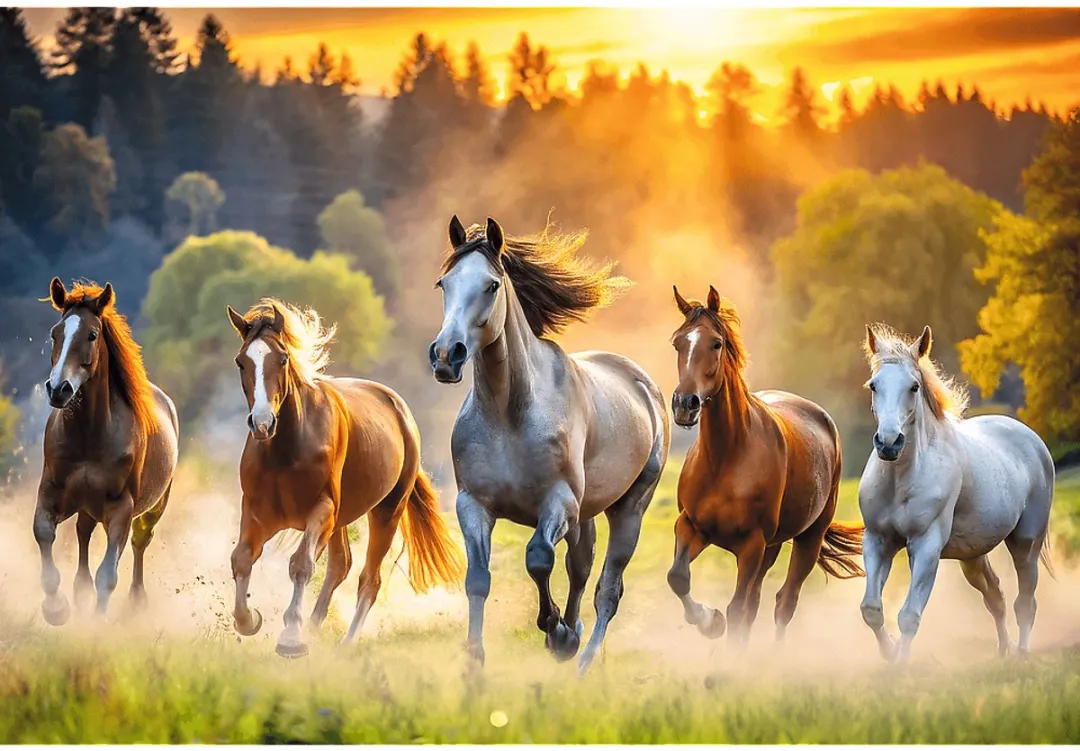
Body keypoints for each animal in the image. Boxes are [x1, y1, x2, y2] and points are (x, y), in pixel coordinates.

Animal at [35, 278, 179, 624]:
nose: (58, 389)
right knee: (83, 533)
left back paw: (137, 600)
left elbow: (108, 573)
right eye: (55, 333)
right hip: (87, 506)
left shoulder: (121, 508)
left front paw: (97, 623)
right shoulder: (51, 491)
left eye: (91, 334)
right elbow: (44, 534)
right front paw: (56, 607)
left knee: (139, 543)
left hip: (152, 508)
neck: (90, 435)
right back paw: (79, 593)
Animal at [225, 299, 465, 657]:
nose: (263, 423)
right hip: (340, 521)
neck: (286, 449)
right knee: (341, 565)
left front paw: (290, 638)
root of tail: (401, 411)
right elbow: (241, 559)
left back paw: (345, 643)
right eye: (241, 362)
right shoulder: (257, 513)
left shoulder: (321, 511)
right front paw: (249, 619)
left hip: (385, 512)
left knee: (369, 579)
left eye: (282, 359)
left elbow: (301, 564)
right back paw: (312, 629)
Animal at [429, 216, 670, 673]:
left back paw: (581, 657)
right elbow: (478, 580)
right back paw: (573, 635)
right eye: (443, 283)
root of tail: (643, 384)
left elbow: (538, 557)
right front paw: (474, 663)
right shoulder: (473, 505)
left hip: (629, 507)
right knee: (581, 568)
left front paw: (554, 630)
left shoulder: (558, 503)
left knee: (608, 588)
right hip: (586, 514)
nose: (447, 355)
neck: (510, 415)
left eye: (491, 285)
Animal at [666, 286, 864, 645]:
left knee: (784, 601)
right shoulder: (691, 526)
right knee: (757, 602)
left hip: (807, 539)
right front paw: (709, 621)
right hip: (772, 547)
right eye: (678, 343)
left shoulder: (751, 545)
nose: (685, 405)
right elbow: (678, 578)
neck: (726, 458)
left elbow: (736, 609)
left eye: (716, 343)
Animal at [858, 324, 1055, 662]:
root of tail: (1030, 438)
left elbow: (909, 615)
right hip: (973, 557)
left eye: (913, 386)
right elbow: (871, 609)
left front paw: (899, 666)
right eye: (874, 385)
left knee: (1025, 603)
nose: (889, 443)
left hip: (1026, 544)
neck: (901, 479)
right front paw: (890, 653)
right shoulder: (877, 541)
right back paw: (1004, 651)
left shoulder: (926, 546)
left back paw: (1021, 654)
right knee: (995, 597)